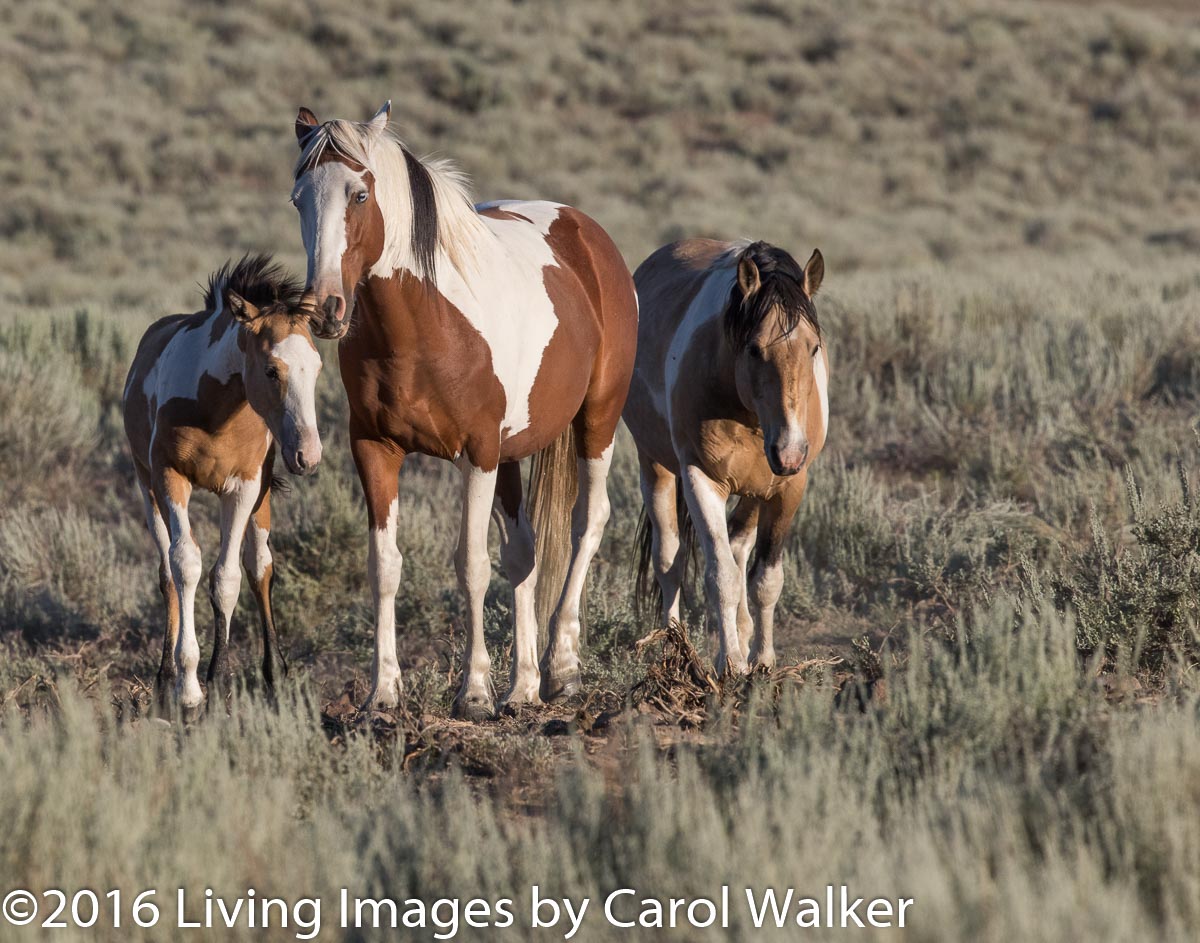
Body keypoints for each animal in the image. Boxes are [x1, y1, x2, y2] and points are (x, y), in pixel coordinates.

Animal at [121, 256, 324, 715]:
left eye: (318, 366)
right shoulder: (168, 477)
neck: (215, 408)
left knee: (259, 566)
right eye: (271, 369)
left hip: (262, 498)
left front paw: (220, 680)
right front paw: (190, 687)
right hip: (147, 488)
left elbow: (227, 577)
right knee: (167, 573)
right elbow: (185, 565)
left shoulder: (244, 487)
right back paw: (165, 678)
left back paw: (274, 673)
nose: (307, 454)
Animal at [289, 103, 638, 715]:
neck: (423, 322)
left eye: (360, 194)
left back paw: (563, 666)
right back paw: (524, 687)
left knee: (586, 523)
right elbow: (385, 566)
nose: (325, 308)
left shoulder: (477, 453)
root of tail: (586, 232)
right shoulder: (374, 450)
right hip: (516, 454)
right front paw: (383, 692)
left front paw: (473, 692)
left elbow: (472, 565)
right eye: (298, 199)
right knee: (524, 553)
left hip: (597, 420)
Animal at [628, 238, 825, 671]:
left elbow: (765, 579)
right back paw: (674, 646)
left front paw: (763, 660)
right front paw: (731, 663)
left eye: (814, 347)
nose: (789, 451)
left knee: (738, 545)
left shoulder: (788, 488)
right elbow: (722, 577)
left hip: (754, 489)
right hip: (656, 467)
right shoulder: (702, 479)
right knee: (670, 561)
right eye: (753, 349)